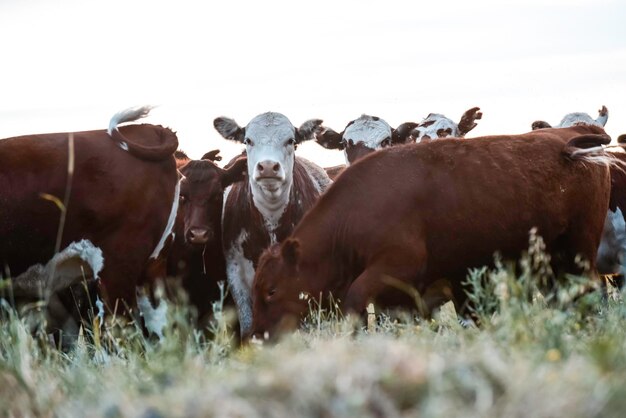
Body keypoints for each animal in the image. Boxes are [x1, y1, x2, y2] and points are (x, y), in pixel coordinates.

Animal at [249, 125, 608, 340]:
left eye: (271, 290)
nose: (258, 336)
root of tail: (572, 136)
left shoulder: (397, 265)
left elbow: (355, 299)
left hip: (578, 252)